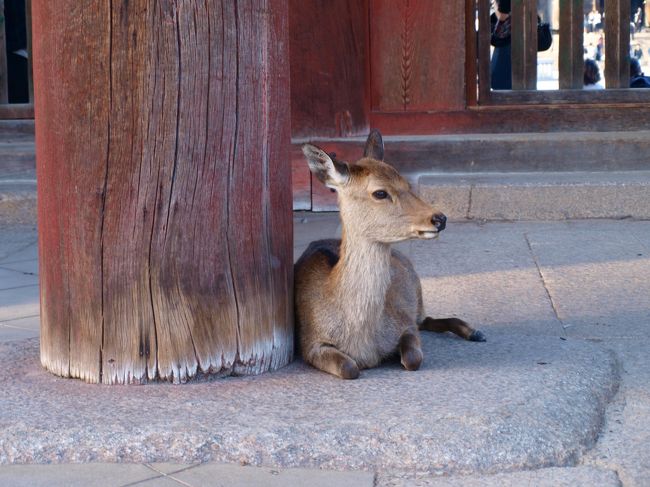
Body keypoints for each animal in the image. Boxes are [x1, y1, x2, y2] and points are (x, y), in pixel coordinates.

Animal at [292, 131, 480, 382]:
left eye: (406, 184)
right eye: (380, 192)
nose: (440, 219)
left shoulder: (404, 322)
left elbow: (413, 359)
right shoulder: (310, 342)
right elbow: (349, 369)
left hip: (417, 294)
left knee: (426, 320)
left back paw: (475, 332)